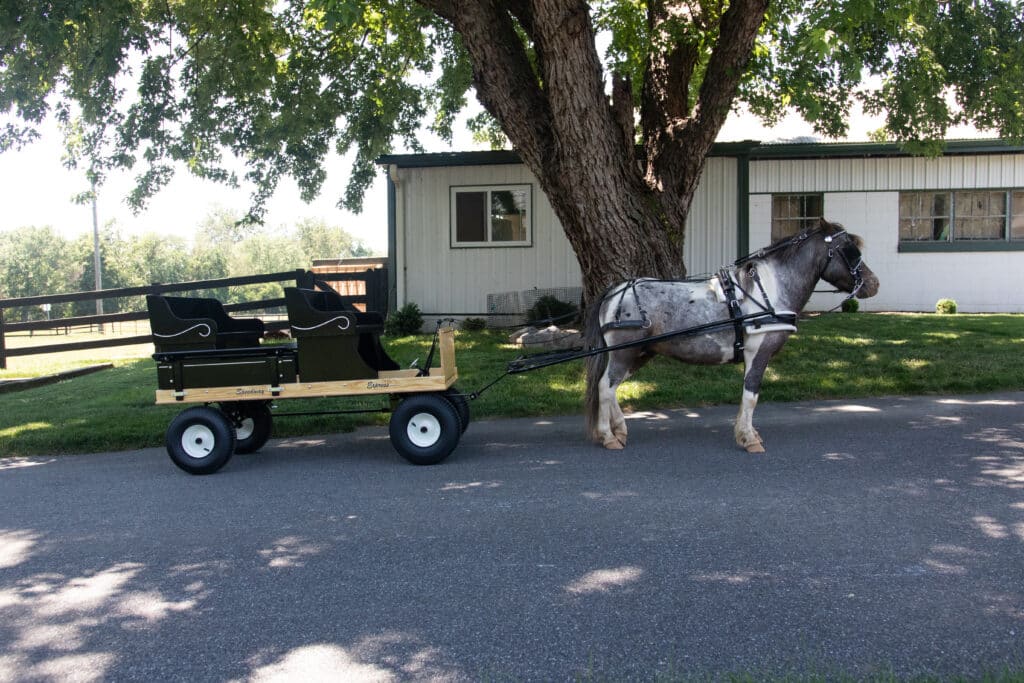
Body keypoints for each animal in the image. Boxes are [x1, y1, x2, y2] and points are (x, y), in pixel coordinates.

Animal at [584, 218, 880, 453]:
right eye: (849, 251)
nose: (873, 284)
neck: (769, 291)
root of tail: (615, 291)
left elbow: (748, 396)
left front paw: (746, 432)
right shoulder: (759, 353)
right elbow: (751, 395)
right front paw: (750, 439)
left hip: (639, 353)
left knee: (611, 387)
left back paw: (620, 430)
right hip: (624, 352)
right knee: (605, 386)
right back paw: (609, 436)